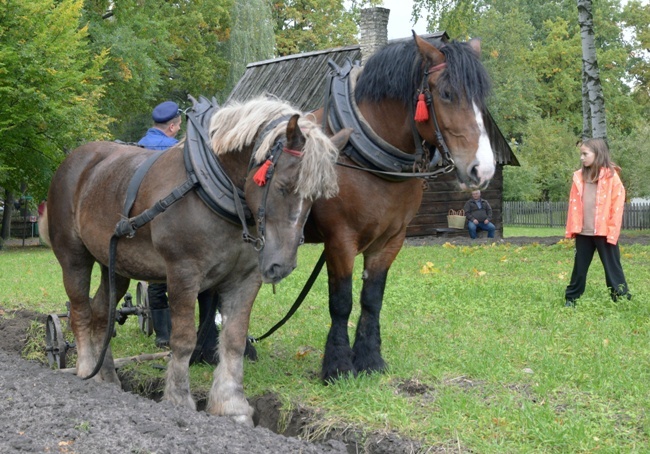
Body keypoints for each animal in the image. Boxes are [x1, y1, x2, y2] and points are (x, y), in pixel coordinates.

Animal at [45, 96, 352, 426]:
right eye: (283, 186)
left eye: (315, 197)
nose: (280, 265)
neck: (209, 189)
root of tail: (76, 160)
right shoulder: (183, 273)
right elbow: (183, 339)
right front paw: (179, 399)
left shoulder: (246, 279)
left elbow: (233, 340)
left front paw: (232, 405)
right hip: (74, 257)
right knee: (80, 311)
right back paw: (85, 370)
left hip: (114, 265)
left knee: (103, 314)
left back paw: (107, 379)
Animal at [306, 32, 496, 380]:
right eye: (446, 93)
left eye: (481, 99)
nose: (483, 170)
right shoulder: (339, 240)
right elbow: (341, 302)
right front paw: (338, 365)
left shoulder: (390, 240)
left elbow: (372, 299)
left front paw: (369, 359)